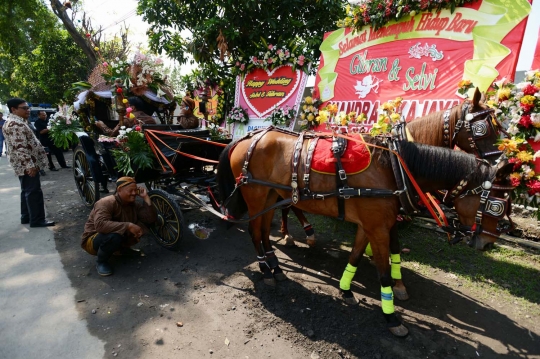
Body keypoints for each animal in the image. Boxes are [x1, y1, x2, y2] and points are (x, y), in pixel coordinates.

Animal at [216, 131, 516, 338]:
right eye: (496, 205)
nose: (488, 242)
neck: (394, 170)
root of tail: (247, 137)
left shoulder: (369, 225)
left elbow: (356, 256)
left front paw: (346, 289)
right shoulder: (377, 228)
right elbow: (382, 272)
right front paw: (392, 317)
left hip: (270, 196)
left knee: (264, 231)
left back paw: (275, 268)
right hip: (255, 195)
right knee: (254, 231)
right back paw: (265, 270)